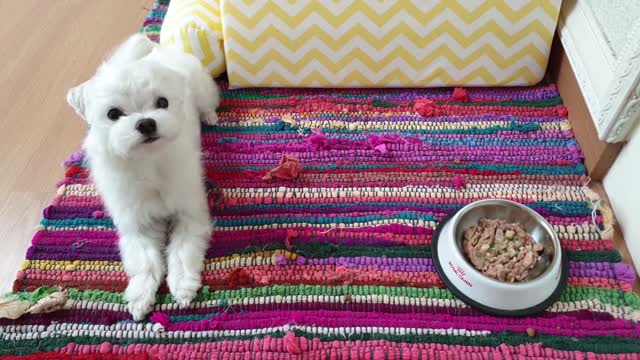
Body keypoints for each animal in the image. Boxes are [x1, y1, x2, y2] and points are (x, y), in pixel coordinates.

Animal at [66, 33, 219, 320]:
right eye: (113, 114)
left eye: (162, 102)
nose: (146, 122)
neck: (149, 163)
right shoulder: (137, 224)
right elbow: (144, 261)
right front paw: (139, 297)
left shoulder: (189, 213)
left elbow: (182, 251)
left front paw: (182, 286)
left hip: (202, 90)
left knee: (208, 102)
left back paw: (210, 116)